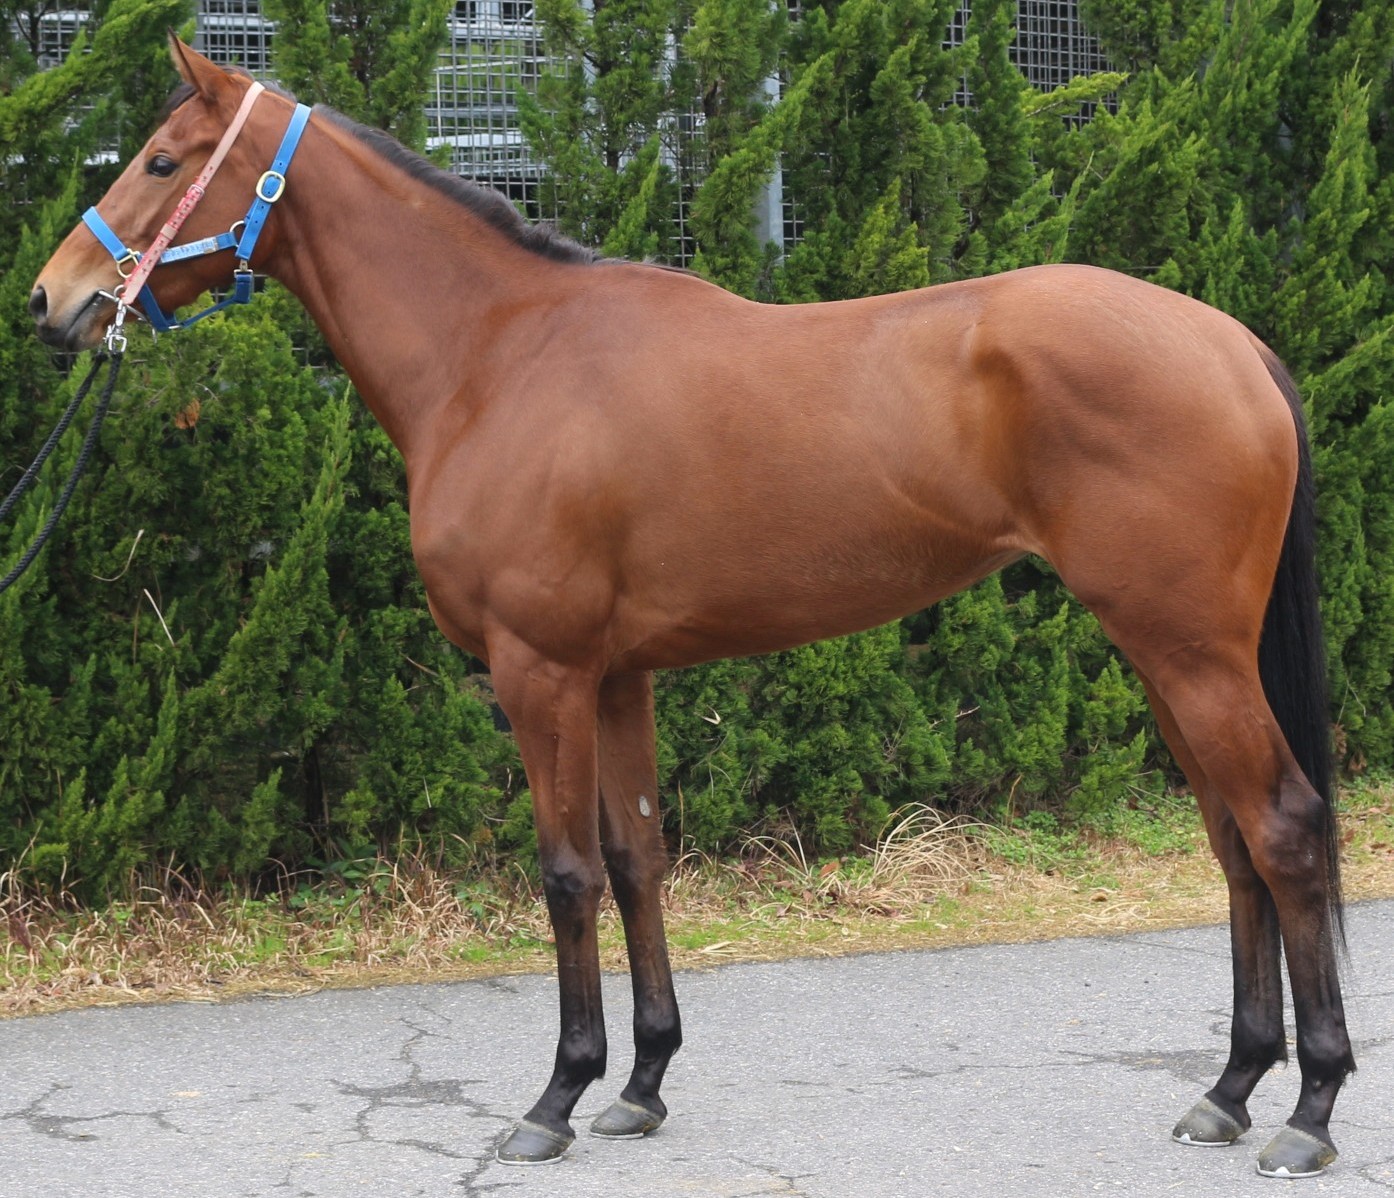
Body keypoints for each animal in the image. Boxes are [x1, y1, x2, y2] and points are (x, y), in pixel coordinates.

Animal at [30, 37, 1352, 1178]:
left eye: (160, 161)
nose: (51, 299)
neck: (498, 357)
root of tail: (1229, 343)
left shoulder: (540, 671)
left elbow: (565, 872)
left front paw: (556, 1096)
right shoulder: (618, 673)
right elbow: (636, 858)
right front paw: (641, 1083)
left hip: (1188, 650)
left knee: (1281, 828)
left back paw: (1306, 1110)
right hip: (1162, 651)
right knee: (1231, 838)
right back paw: (1228, 1090)